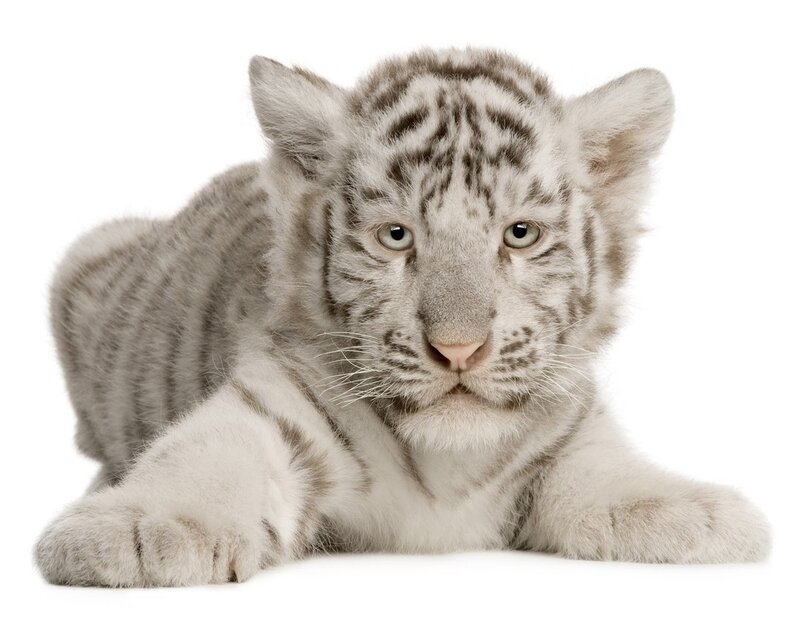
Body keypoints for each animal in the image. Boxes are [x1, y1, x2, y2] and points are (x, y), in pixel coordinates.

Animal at [35, 48, 770, 587]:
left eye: (520, 234)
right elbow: (211, 452)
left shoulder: (568, 425)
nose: (459, 350)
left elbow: (605, 469)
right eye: (396, 237)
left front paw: (701, 514)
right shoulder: (276, 397)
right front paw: (137, 528)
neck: (447, 464)